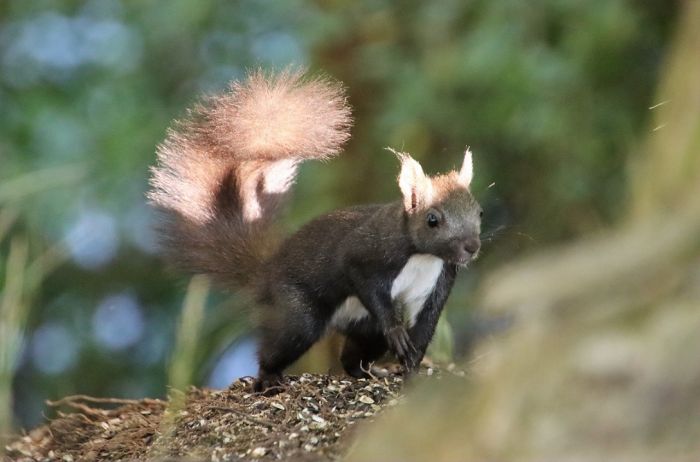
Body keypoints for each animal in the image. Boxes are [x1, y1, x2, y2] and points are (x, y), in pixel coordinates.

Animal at [148, 69, 482, 392]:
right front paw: (396, 331)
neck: (423, 256)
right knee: (279, 348)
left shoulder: (438, 282)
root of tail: (265, 273)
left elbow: (424, 330)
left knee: (351, 358)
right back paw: (269, 380)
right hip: (298, 314)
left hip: (365, 328)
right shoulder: (369, 252)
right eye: (432, 220)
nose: (472, 247)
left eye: (479, 212)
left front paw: (411, 369)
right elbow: (363, 279)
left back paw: (371, 373)